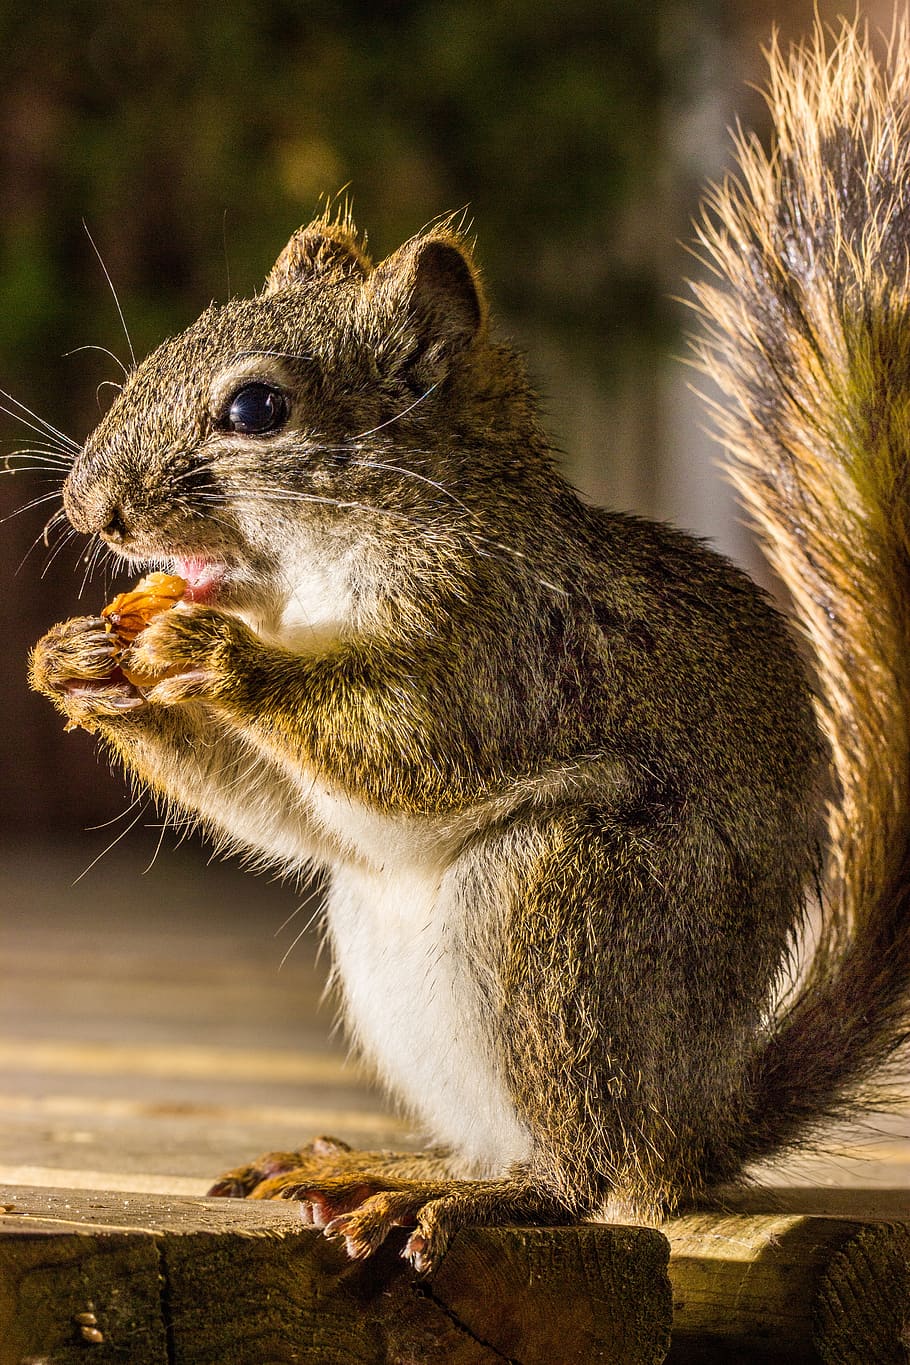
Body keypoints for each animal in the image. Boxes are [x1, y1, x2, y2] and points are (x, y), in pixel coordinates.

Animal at [27, 18, 910, 1273]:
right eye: (162, 353)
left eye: (257, 410)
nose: (88, 509)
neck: (311, 583)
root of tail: (698, 1120)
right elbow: (284, 812)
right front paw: (77, 666)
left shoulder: (513, 641)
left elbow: (416, 743)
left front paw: (225, 660)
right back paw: (379, 1163)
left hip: (577, 922)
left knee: (585, 1169)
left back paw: (469, 1197)